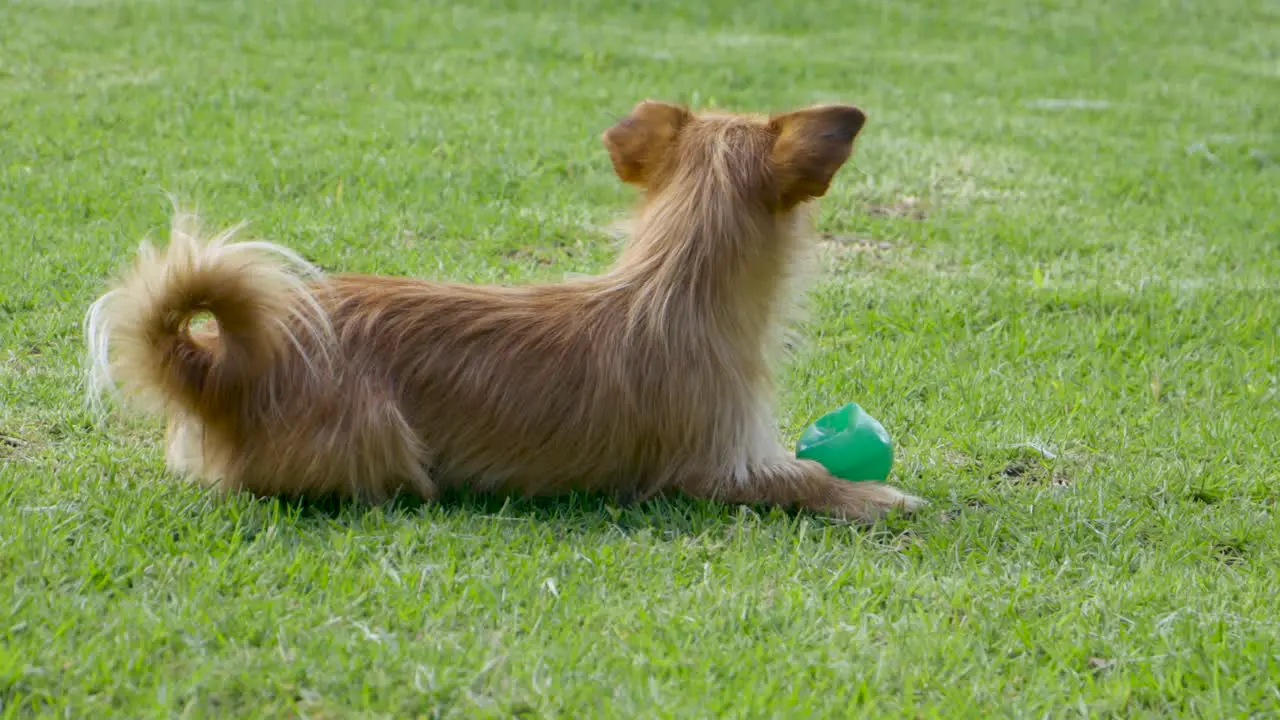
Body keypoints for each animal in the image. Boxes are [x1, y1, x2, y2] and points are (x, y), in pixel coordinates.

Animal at [85, 99, 926, 520]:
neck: (675, 276)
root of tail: (220, 364)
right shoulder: (716, 471)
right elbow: (805, 479)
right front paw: (878, 495)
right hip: (380, 443)